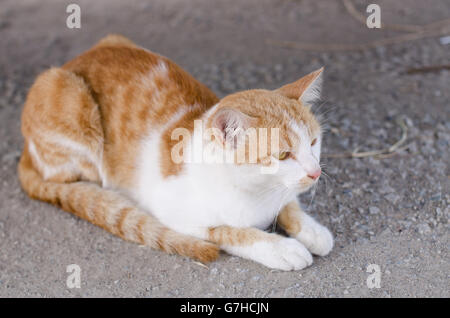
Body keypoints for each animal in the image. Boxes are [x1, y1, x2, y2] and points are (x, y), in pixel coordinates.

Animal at [18, 34, 334, 270]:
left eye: (313, 142)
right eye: (282, 155)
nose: (315, 172)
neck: (256, 192)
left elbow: (290, 204)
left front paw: (312, 229)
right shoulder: (175, 214)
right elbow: (228, 231)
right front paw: (280, 247)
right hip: (66, 95)